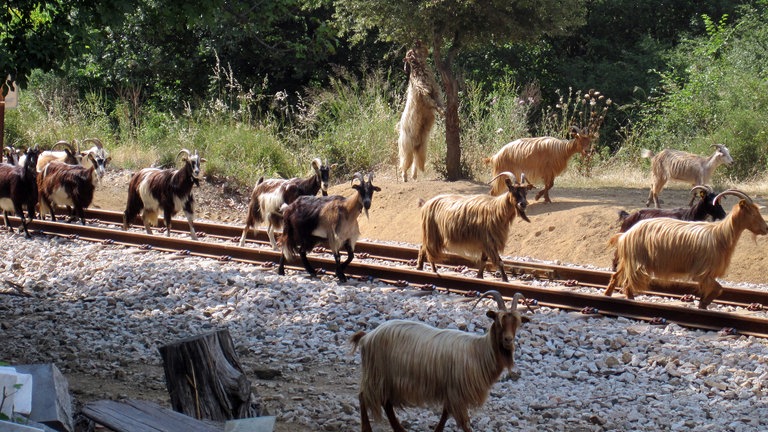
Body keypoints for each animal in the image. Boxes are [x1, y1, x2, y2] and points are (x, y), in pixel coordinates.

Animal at [350, 290, 530, 432]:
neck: (479, 352)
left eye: (517, 323)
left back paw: (399, 429)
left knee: (386, 403)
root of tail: (367, 336)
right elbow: (463, 422)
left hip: (388, 379)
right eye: (499, 322)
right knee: (363, 396)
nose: (508, 340)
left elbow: (445, 414)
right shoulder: (456, 392)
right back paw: (367, 429)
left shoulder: (451, 391)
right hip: (377, 374)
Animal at [397, 40, 444, 182]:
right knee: (404, 163)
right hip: (407, 148)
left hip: (421, 148)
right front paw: (442, 112)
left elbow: (439, 100)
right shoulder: (424, 92)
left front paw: (443, 111)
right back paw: (404, 177)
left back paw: (414, 175)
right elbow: (432, 102)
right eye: (412, 50)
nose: (418, 41)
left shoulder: (435, 90)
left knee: (416, 162)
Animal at [605, 189, 767, 309]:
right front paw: (704, 304)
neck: (721, 235)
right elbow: (718, 288)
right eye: (753, 213)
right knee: (627, 283)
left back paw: (608, 294)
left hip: (630, 260)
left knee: (617, 276)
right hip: (637, 261)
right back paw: (629, 299)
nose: (766, 228)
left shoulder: (706, 273)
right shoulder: (701, 271)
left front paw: (702, 304)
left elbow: (712, 289)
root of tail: (626, 234)